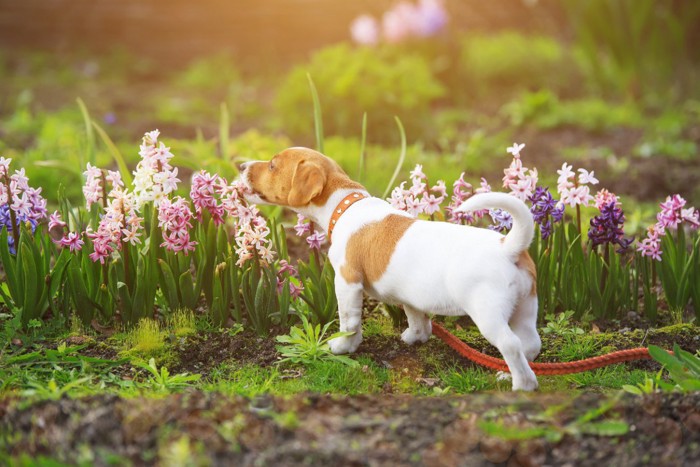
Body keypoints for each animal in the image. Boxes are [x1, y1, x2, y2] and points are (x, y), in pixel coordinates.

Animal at [238, 147, 540, 392]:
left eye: (273, 165)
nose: (241, 166)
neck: (345, 205)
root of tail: (508, 246)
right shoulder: (411, 297)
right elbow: (416, 317)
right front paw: (415, 337)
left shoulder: (347, 282)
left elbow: (349, 322)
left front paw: (344, 347)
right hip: (525, 308)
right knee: (530, 344)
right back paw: (508, 374)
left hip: (488, 314)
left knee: (511, 344)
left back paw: (522, 385)